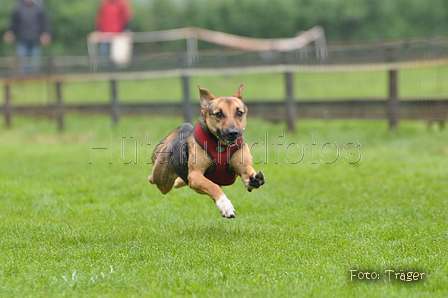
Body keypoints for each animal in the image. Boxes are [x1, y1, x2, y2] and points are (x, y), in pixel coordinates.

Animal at [149, 84, 264, 219]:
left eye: (239, 113)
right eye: (218, 114)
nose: (233, 133)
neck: (221, 145)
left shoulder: (242, 165)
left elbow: (247, 171)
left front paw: (253, 179)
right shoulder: (195, 175)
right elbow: (212, 185)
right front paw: (226, 206)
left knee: (178, 182)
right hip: (162, 178)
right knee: (153, 178)